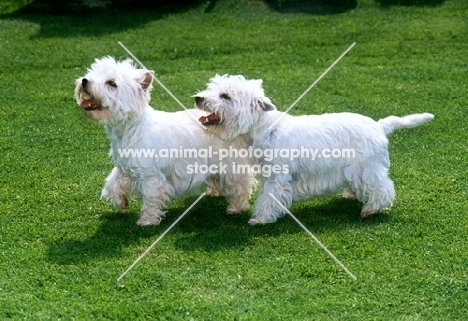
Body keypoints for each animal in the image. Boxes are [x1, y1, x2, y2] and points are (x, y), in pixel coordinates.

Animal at [75, 56, 254, 224]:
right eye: (93, 73)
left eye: (112, 83)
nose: (84, 81)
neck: (129, 129)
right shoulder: (124, 167)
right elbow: (113, 184)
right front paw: (121, 202)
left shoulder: (150, 175)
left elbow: (150, 198)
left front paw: (146, 220)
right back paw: (213, 192)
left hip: (231, 164)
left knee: (241, 186)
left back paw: (235, 208)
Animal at [193, 74, 432, 225]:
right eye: (212, 89)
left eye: (225, 96)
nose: (198, 98)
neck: (261, 130)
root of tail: (380, 125)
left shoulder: (276, 178)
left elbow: (268, 199)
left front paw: (260, 219)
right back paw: (352, 196)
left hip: (367, 169)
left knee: (383, 188)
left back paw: (370, 209)